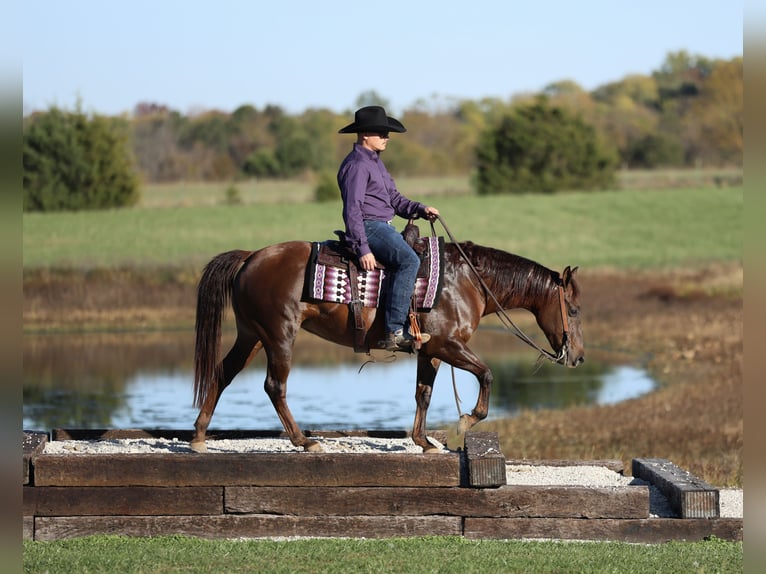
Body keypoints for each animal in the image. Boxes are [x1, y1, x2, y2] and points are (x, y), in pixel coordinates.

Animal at [190, 238, 584, 453]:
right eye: (575, 310)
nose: (579, 357)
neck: (466, 280)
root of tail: (251, 256)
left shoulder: (430, 352)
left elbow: (423, 393)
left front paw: (424, 442)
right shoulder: (448, 345)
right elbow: (486, 375)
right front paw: (464, 423)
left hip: (252, 335)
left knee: (223, 373)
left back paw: (198, 436)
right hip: (279, 335)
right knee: (275, 386)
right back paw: (303, 441)